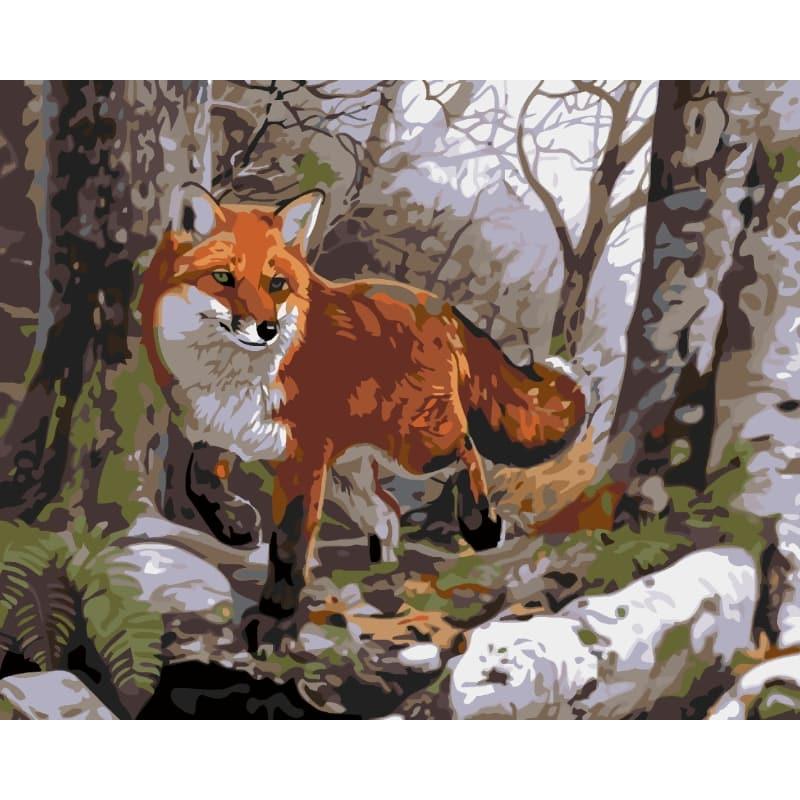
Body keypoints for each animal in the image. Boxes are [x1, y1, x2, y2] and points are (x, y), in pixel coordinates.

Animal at [140, 183, 586, 639]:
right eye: (223, 278)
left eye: (277, 283)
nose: (266, 329)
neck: (233, 378)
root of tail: (438, 305)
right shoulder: (221, 432)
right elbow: (199, 480)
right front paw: (236, 524)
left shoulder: (302, 463)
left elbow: (288, 549)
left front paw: (274, 619)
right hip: (350, 475)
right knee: (388, 513)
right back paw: (379, 573)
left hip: (415, 448)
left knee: (466, 449)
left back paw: (481, 524)